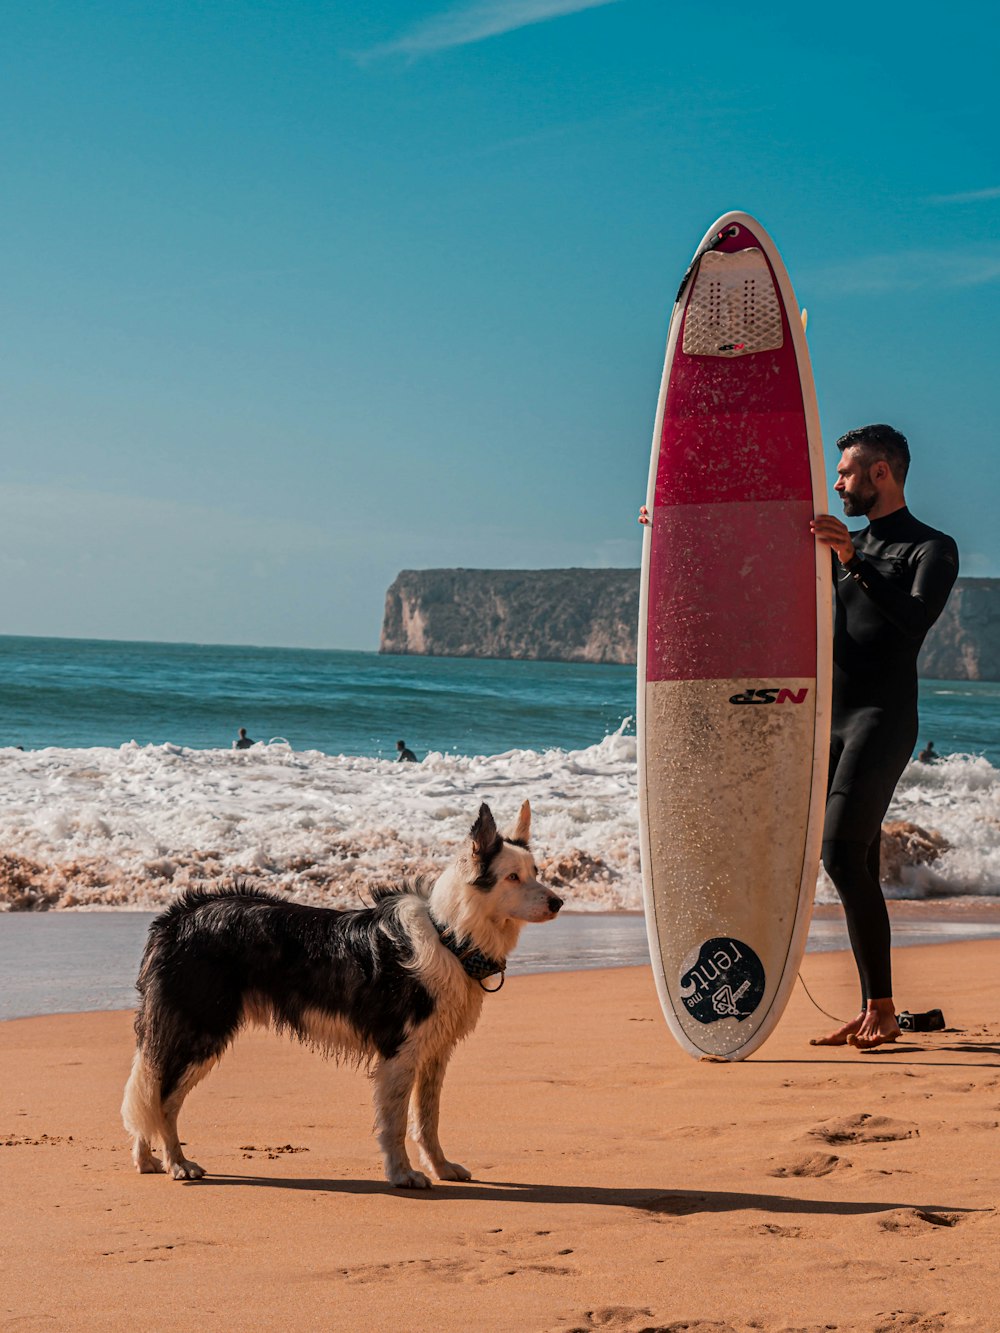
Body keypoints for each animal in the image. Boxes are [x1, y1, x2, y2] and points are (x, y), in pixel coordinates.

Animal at [120, 799, 560, 1189]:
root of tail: (177, 919)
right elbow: (395, 1124)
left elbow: (427, 1119)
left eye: (536, 871)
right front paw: (403, 1175)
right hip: (201, 1030)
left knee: (149, 1089)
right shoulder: (399, 1052)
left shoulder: (434, 1050)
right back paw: (178, 1164)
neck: (449, 936)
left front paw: (442, 1168)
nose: (558, 901)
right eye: (512, 877)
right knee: (163, 1099)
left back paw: (146, 1161)